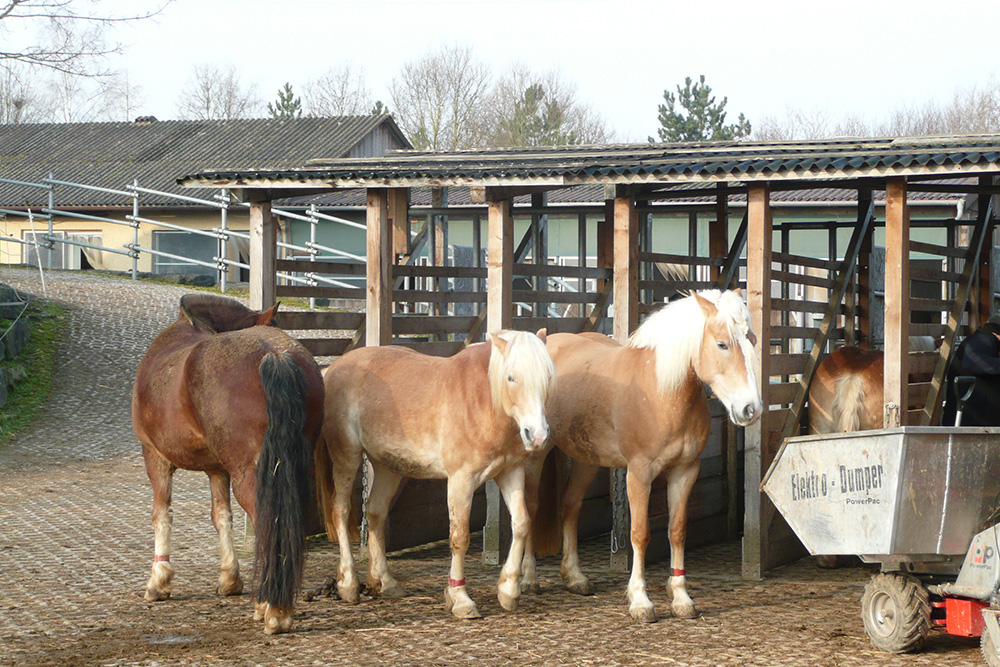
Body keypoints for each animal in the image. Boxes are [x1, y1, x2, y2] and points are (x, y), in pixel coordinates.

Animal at [131, 294, 322, 636]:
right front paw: (229, 579)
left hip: (249, 477)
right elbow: (221, 516)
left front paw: (159, 581)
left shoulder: (154, 457)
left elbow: (161, 515)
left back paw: (272, 608)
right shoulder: (217, 469)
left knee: (265, 521)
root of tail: (276, 355)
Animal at [314, 328, 556, 620]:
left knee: (375, 512)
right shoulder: (461, 480)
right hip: (347, 457)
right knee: (341, 511)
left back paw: (384, 580)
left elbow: (521, 523)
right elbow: (459, 537)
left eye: (548, 376)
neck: (483, 400)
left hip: (387, 466)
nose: (537, 435)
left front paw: (508, 591)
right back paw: (349, 584)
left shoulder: (511, 473)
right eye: (511, 377)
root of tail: (333, 368)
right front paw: (460, 598)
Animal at [520, 290, 760, 624]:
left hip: (586, 460)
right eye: (722, 344)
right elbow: (640, 533)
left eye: (751, 339)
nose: (751, 409)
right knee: (531, 507)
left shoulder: (685, 471)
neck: (661, 392)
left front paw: (681, 597)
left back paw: (575, 577)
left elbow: (677, 531)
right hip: (536, 456)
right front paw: (640, 600)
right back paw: (529, 578)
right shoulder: (639, 474)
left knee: (570, 506)